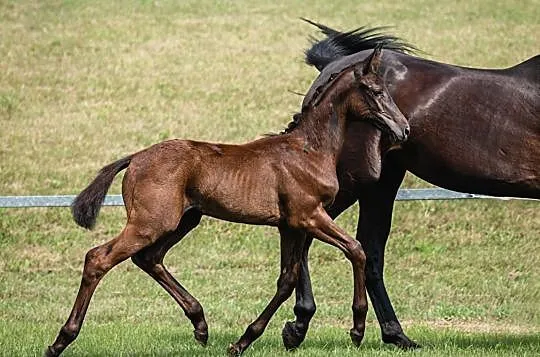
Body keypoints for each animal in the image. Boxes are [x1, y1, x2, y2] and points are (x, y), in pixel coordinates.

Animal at [46, 48, 410, 356]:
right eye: (376, 92)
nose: (404, 129)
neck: (308, 150)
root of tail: (135, 157)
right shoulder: (309, 216)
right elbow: (356, 250)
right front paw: (357, 329)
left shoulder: (289, 226)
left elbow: (287, 279)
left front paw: (243, 341)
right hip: (151, 222)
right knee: (98, 258)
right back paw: (61, 340)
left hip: (184, 220)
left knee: (149, 258)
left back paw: (200, 325)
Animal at [282, 20, 540, 350]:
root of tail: (330, 68)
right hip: (353, 181)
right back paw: (299, 325)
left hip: (382, 182)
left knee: (369, 249)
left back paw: (395, 334)